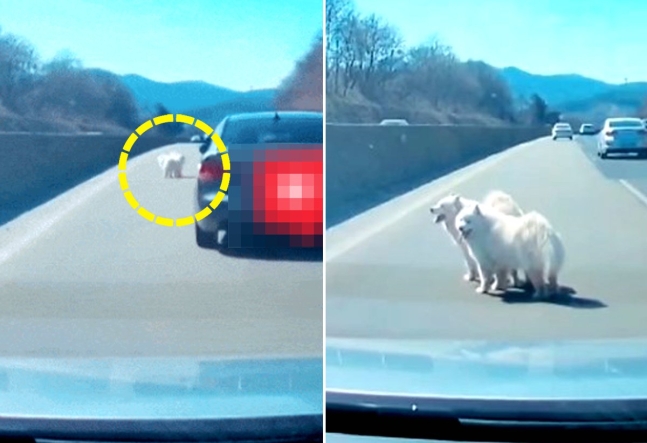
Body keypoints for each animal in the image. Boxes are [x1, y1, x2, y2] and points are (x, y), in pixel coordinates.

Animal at [432, 191, 564, 302]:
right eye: (460, 220)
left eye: (442, 205)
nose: (431, 209)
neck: (482, 228)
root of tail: (545, 230)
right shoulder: (499, 259)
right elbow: (499, 275)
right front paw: (498, 286)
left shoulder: (483, 258)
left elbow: (482, 274)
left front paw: (481, 288)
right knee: (551, 277)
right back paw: (549, 291)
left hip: (531, 263)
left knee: (539, 280)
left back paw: (538, 294)